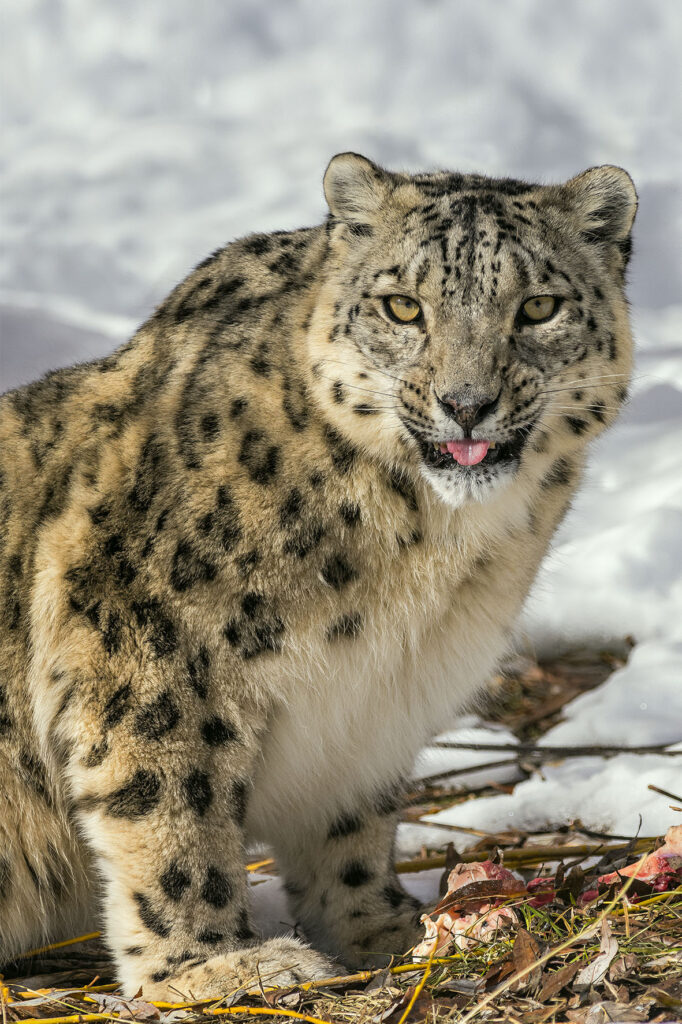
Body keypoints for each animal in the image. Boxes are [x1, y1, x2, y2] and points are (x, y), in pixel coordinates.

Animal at [1, 153, 638, 999]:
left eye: (539, 306)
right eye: (403, 306)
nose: (467, 404)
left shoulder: (368, 703)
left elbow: (349, 820)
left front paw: (378, 926)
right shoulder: (146, 647)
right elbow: (171, 809)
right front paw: (212, 965)